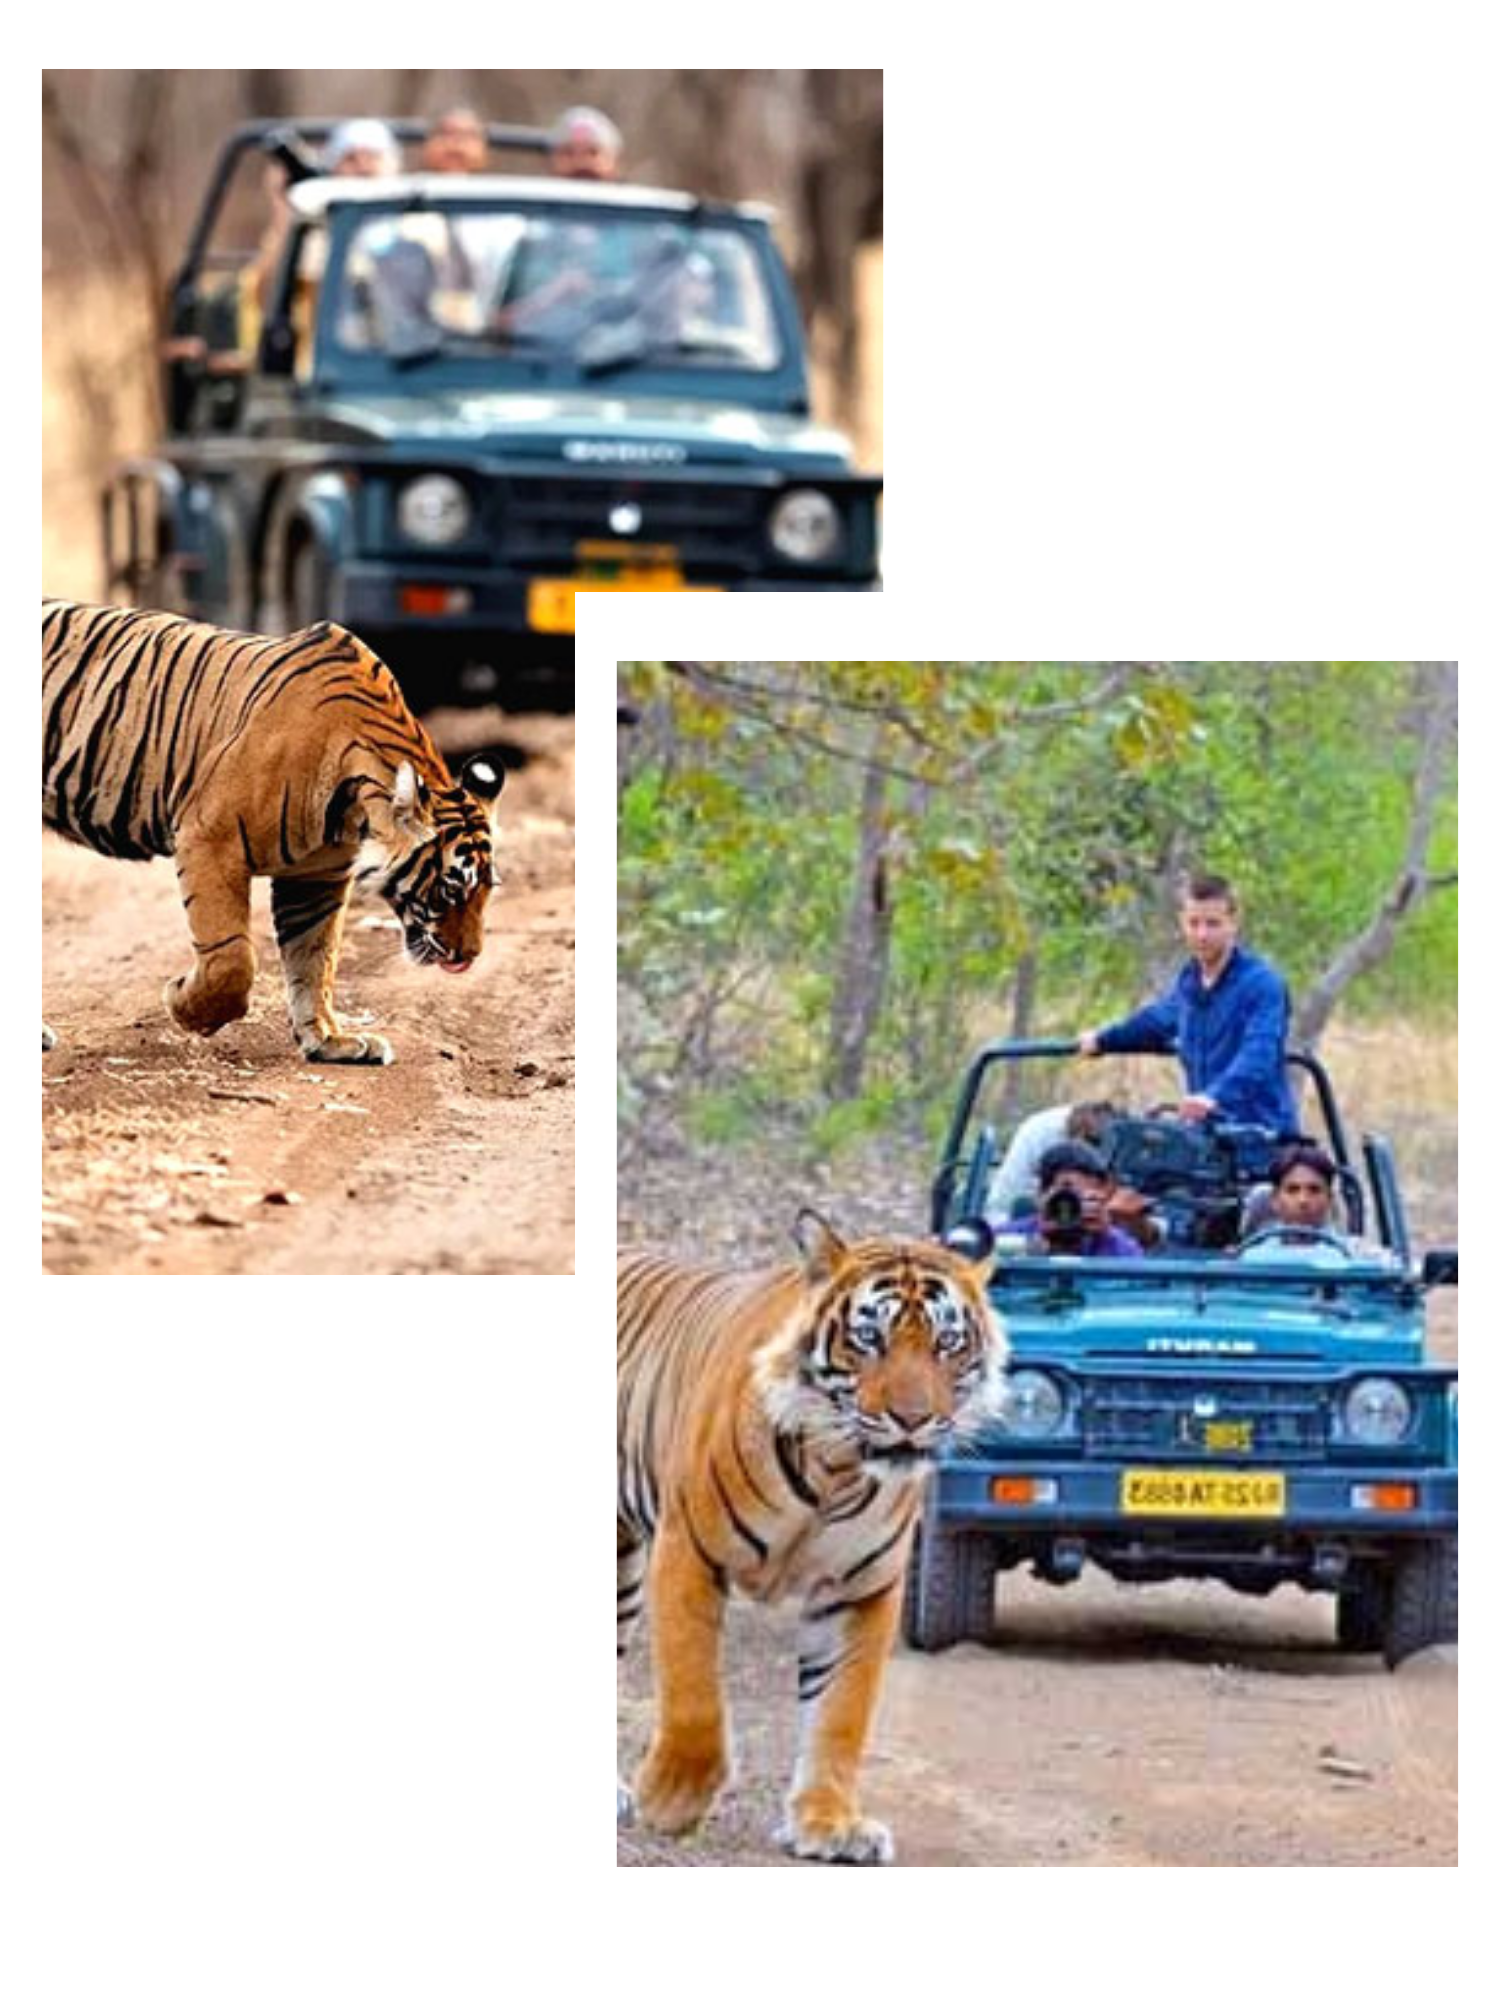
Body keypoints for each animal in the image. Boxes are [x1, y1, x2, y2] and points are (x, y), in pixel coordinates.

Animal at [42, 598, 505, 1064]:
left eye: (487, 890)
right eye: (451, 889)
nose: (470, 956)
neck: (351, 809)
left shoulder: (317, 876)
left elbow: (315, 959)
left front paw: (328, 1039)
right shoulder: (210, 839)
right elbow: (232, 959)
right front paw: (186, 1009)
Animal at [617, 1211, 1006, 1866]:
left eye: (947, 1344)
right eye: (869, 1338)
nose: (913, 1419)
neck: (837, 1467)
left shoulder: (861, 1589)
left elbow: (840, 1713)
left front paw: (830, 1824)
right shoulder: (689, 1549)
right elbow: (693, 1690)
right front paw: (671, 1799)